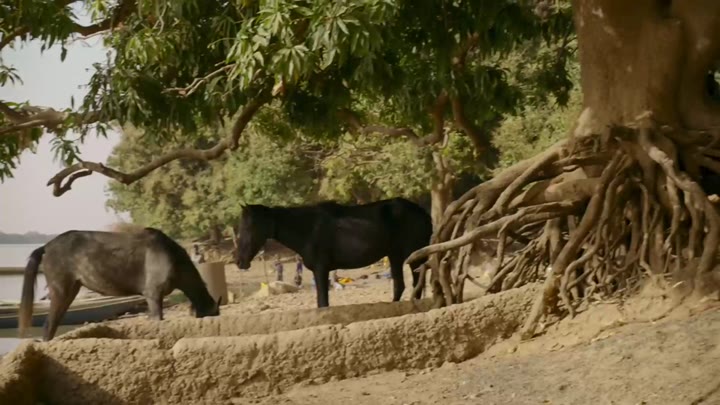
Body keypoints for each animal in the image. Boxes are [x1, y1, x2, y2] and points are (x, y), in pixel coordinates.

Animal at [19, 227, 222, 341]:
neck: (172, 258)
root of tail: (46, 246)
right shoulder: (153, 295)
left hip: (71, 290)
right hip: (60, 290)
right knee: (48, 326)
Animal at [233, 198, 433, 308]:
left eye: (250, 227)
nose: (239, 260)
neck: (308, 228)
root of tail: (423, 212)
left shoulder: (321, 270)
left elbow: (323, 303)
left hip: (411, 256)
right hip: (395, 256)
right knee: (401, 286)